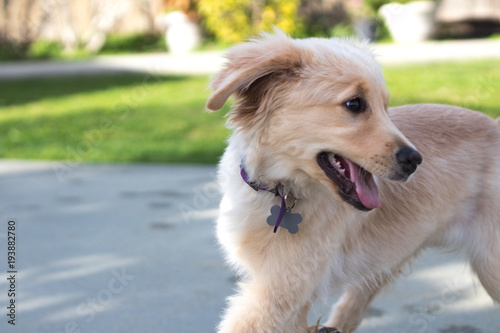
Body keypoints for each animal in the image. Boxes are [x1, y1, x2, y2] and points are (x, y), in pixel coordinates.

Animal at [205, 29, 498, 332]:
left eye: (385, 107)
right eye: (355, 104)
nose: (415, 160)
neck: (278, 191)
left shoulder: (279, 292)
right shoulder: (286, 294)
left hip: (490, 264)